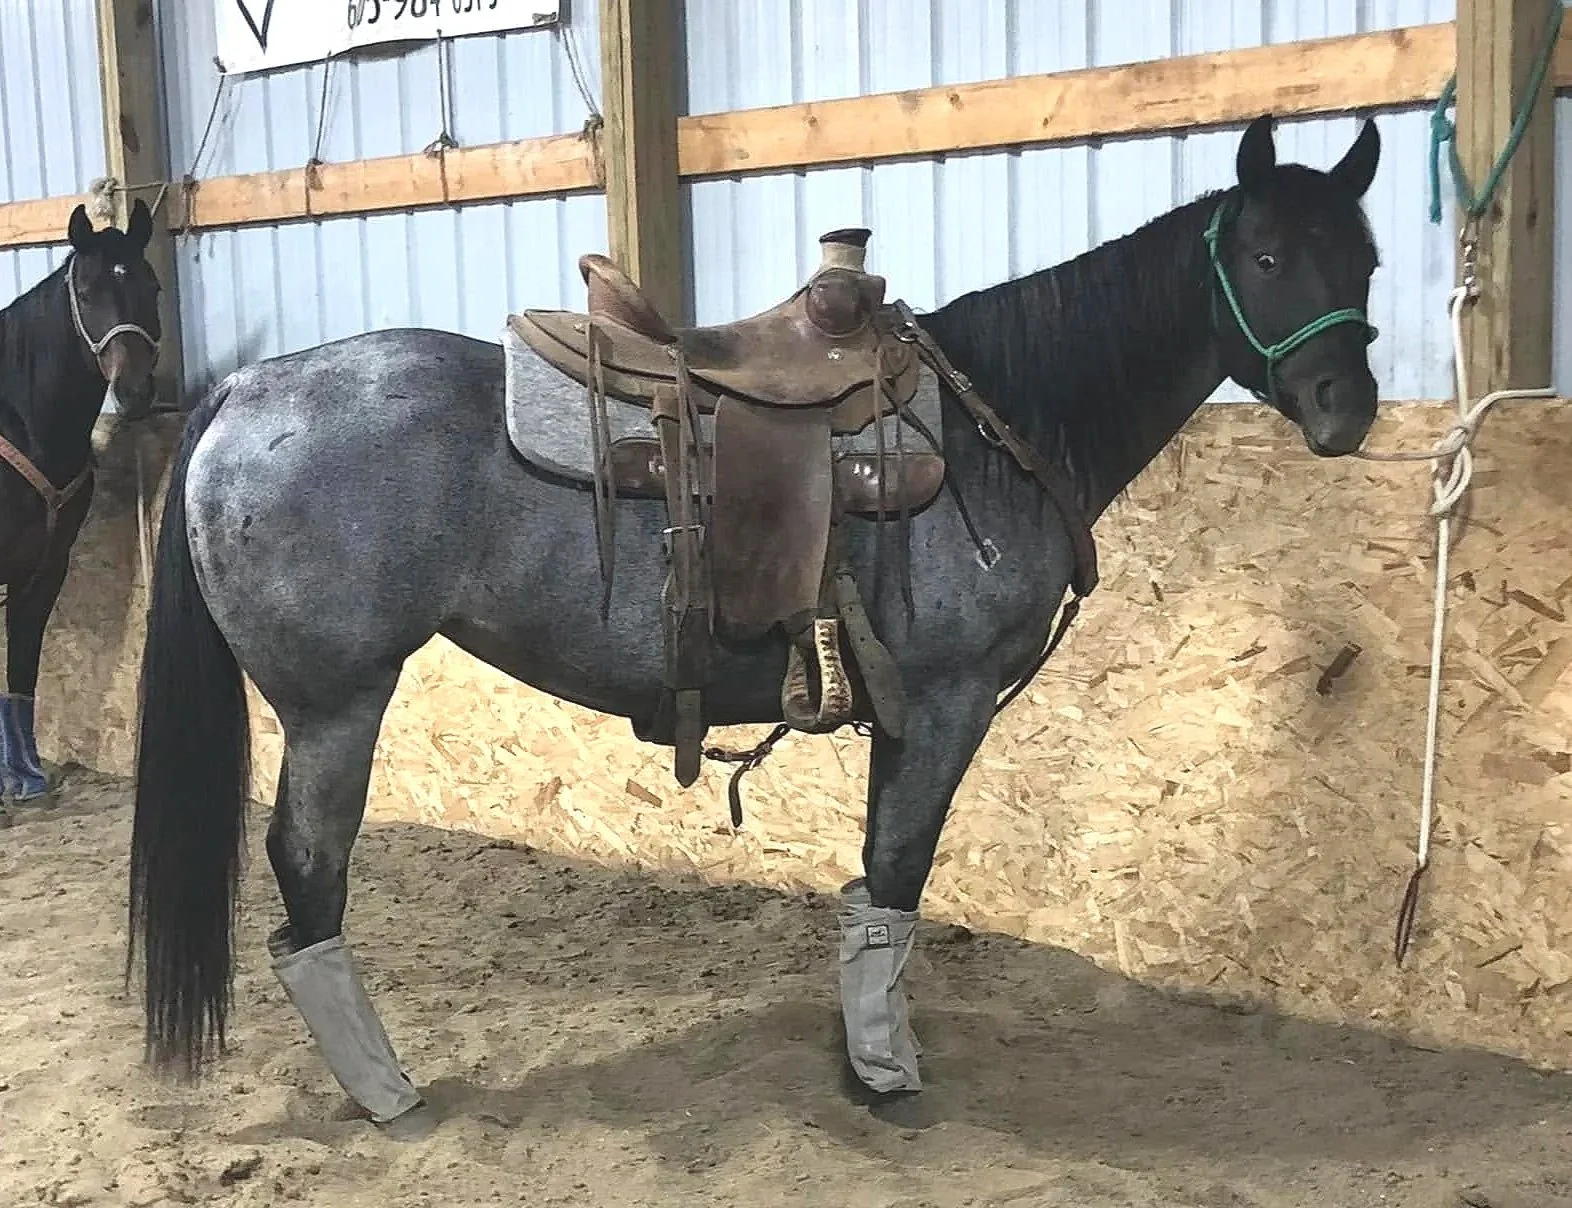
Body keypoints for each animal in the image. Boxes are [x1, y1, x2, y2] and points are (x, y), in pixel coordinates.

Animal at [0, 201, 161, 801]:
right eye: (87, 293)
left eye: (151, 288)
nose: (135, 391)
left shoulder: (44, 566)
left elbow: (22, 666)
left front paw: (25, 775)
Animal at [127, 114, 1382, 1133]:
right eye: (1268, 256)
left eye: (1366, 258)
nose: (1348, 412)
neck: (993, 429)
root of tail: (245, 391)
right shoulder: (947, 703)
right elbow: (901, 870)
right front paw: (886, 1075)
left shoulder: (903, 713)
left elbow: (876, 880)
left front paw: (864, 1048)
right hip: (336, 703)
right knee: (307, 871)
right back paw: (387, 1090)